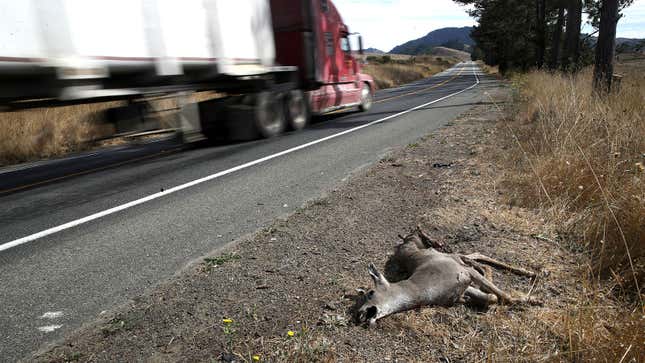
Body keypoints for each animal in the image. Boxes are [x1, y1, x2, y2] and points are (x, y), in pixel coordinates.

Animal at [354, 228, 540, 328]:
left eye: (370, 292)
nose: (360, 314)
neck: (423, 289)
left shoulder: (464, 273)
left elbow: (504, 296)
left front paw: (533, 300)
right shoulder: (461, 289)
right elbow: (492, 297)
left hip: (449, 255)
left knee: (476, 257)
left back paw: (532, 273)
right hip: (455, 258)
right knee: (476, 257)